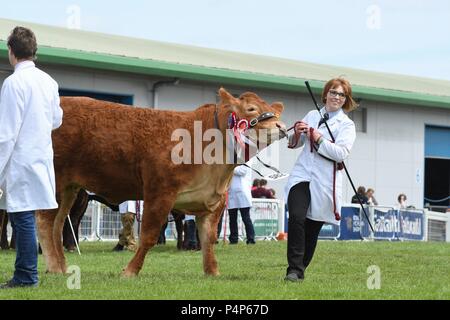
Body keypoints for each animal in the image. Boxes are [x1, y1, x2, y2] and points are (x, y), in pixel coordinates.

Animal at [37, 88, 286, 278]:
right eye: (251, 109)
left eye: (273, 111)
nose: (282, 127)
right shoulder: (160, 191)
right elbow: (148, 235)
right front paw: (130, 271)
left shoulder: (213, 201)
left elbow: (208, 238)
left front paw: (212, 271)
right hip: (56, 181)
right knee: (46, 221)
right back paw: (55, 266)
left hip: (70, 188)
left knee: (58, 223)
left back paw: (61, 266)